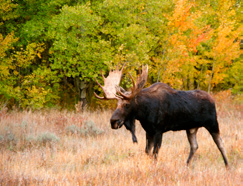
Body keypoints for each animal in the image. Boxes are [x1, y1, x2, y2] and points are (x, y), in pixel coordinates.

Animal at [94, 64, 229, 167]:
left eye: (127, 104)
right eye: (117, 103)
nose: (113, 121)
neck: (144, 113)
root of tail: (213, 100)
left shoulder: (159, 130)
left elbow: (155, 153)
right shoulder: (149, 131)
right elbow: (147, 152)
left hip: (212, 123)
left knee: (220, 143)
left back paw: (227, 165)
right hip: (191, 128)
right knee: (194, 146)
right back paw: (186, 165)